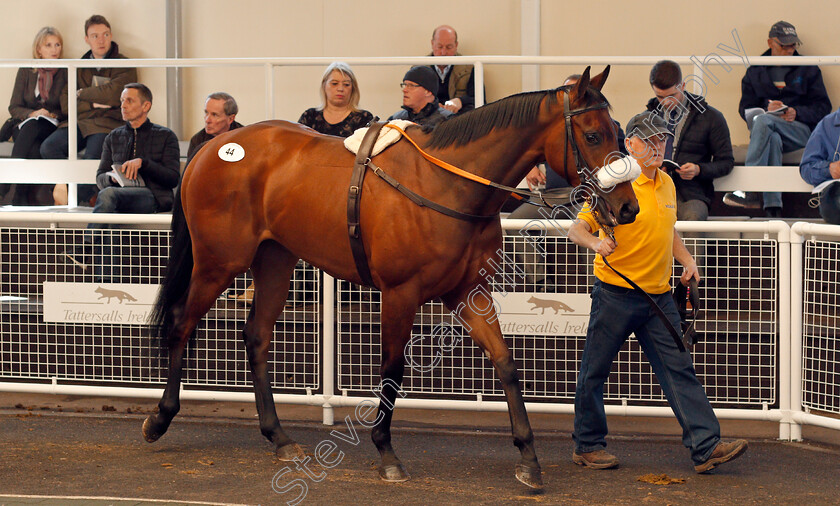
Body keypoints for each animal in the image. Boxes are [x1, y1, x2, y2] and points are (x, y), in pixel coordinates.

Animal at [148, 67, 640, 490]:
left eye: (618, 133)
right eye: (593, 135)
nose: (628, 208)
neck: (446, 184)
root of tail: (212, 148)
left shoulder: (470, 293)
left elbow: (505, 363)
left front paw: (529, 458)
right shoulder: (400, 295)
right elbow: (392, 370)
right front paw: (386, 453)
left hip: (274, 261)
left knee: (255, 335)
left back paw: (278, 436)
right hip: (218, 262)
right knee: (182, 324)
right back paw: (160, 418)